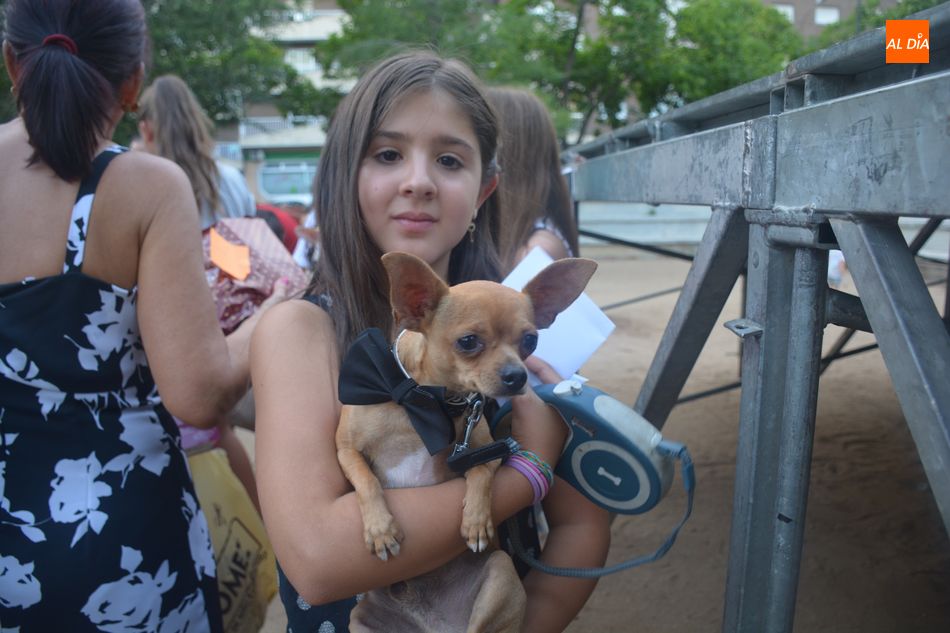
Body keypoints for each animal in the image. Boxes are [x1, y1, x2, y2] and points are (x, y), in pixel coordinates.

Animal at [338, 249, 600, 628]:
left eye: (530, 340)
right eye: (468, 342)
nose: (517, 375)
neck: (425, 402)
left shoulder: (488, 451)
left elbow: (480, 472)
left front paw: (476, 521)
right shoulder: (346, 450)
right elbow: (366, 479)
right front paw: (380, 529)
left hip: (499, 573)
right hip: (360, 618)